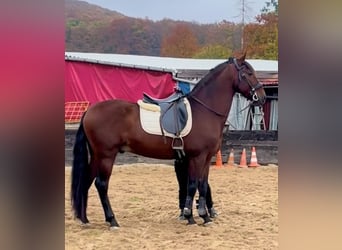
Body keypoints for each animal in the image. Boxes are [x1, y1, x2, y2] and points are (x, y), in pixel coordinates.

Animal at [71, 53, 266, 229]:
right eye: (248, 73)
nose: (262, 97)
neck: (204, 110)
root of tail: (89, 111)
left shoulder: (205, 158)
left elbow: (202, 185)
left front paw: (203, 216)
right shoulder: (197, 157)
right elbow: (193, 185)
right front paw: (192, 216)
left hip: (97, 156)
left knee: (87, 181)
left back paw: (84, 219)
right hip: (106, 155)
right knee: (101, 184)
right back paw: (112, 221)